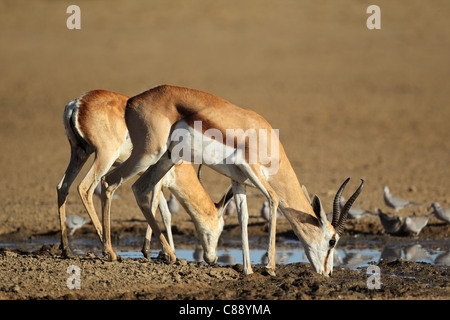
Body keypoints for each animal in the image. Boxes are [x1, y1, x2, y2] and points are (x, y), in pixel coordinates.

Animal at [56, 89, 232, 262]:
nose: (213, 259)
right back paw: (109, 251)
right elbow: (156, 207)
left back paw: (67, 250)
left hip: (79, 153)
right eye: (221, 227)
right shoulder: (159, 178)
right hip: (104, 156)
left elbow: (165, 212)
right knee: (85, 188)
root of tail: (77, 103)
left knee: (62, 187)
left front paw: (164, 251)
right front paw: (154, 251)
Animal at [100, 85, 364, 278]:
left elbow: (243, 217)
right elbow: (274, 199)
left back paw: (169, 255)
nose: (328, 274)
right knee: (108, 182)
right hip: (148, 154)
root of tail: (132, 101)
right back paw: (111, 253)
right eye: (332, 240)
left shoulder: (239, 181)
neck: (264, 137)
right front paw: (270, 268)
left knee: (139, 188)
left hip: (165, 158)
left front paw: (247, 269)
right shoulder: (251, 169)